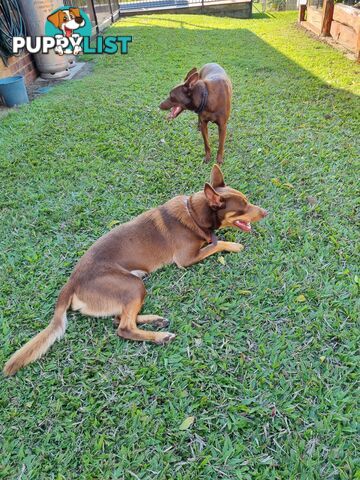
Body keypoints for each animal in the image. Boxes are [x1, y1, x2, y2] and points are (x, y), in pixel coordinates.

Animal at [2, 167, 268, 376]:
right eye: (243, 206)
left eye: (247, 201)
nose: (266, 212)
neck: (195, 212)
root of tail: (71, 282)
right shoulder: (186, 259)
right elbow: (216, 243)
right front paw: (233, 245)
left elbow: (215, 240)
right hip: (132, 286)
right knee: (124, 328)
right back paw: (160, 336)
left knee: (119, 318)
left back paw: (155, 320)